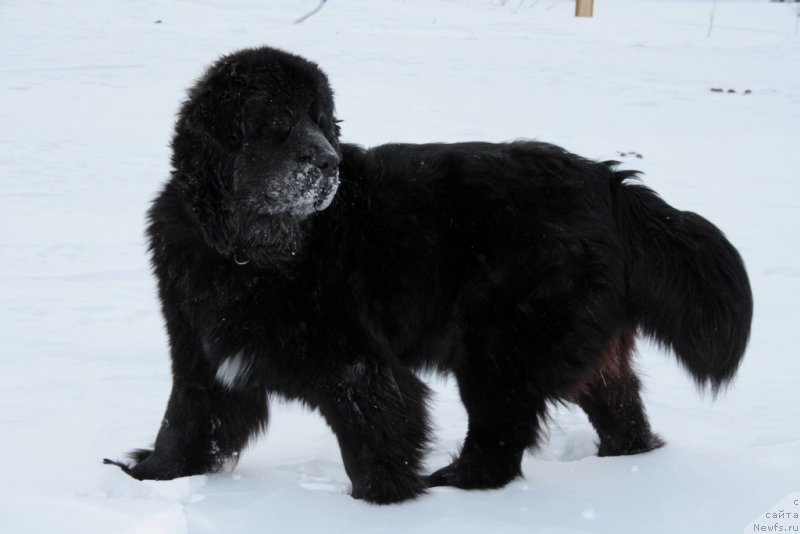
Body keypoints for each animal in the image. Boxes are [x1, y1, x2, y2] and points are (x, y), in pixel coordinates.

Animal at [104, 47, 752, 506]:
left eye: (323, 121)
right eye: (279, 121)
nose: (328, 163)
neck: (249, 249)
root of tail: (611, 185)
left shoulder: (356, 363)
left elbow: (376, 430)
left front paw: (380, 502)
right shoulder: (201, 351)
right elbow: (185, 421)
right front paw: (144, 477)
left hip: (499, 346)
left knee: (500, 434)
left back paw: (458, 482)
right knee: (621, 411)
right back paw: (629, 461)